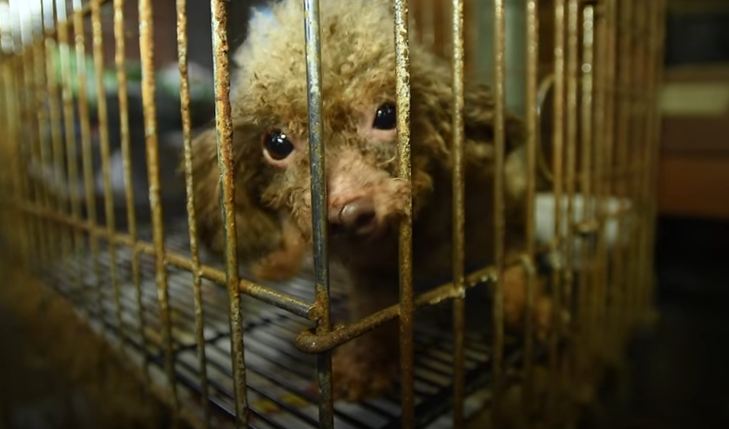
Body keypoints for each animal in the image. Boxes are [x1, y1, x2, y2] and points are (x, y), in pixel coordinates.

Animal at [191, 0, 548, 402]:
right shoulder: (368, 270)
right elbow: (373, 312)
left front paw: (532, 312)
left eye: (387, 114)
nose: (349, 214)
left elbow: (515, 260)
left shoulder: (495, 213)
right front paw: (367, 364)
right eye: (277, 144)